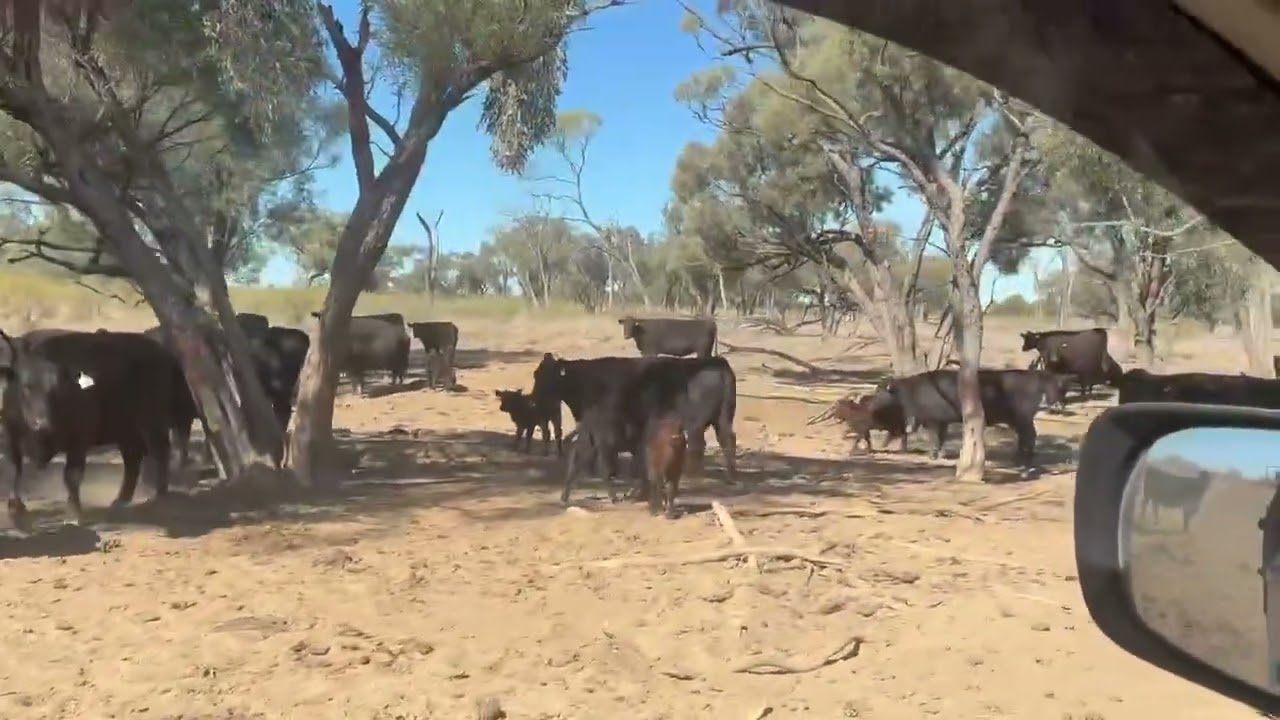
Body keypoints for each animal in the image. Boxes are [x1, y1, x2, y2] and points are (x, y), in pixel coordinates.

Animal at [0, 329, 181, 527]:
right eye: (26, 388)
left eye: (57, 390)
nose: (42, 424)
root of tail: (160, 351)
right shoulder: (10, 437)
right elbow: (14, 468)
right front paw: (14, 506)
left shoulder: (79, 440)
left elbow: (72, 476)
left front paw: (74, 513)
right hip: (126, 430)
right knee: (133, 460)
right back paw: (121, 500)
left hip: (151, 423)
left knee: (160, 452)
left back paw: (160, 495)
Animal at [532, 352, 738, 485]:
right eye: (536, 374)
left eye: (546, 376)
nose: (534, 398)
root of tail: (716, 361)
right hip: (723, 417)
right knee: (727, 439)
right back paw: (730, 475)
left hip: (696, 421)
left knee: (698, 444)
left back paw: (693, 474)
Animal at [875, 369, 1069, 468]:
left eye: (881, 390)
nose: (872, 399)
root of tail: (1038, 376)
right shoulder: (943, 422)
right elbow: (942, 438)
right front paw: (941, 454)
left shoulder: (933, 421)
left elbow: (935, 439)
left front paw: (933, 455)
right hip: (1018, 420)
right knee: (1026, 436)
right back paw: (1021, 455)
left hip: (1022, 418)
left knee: (1029, 435)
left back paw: (1023, 457)